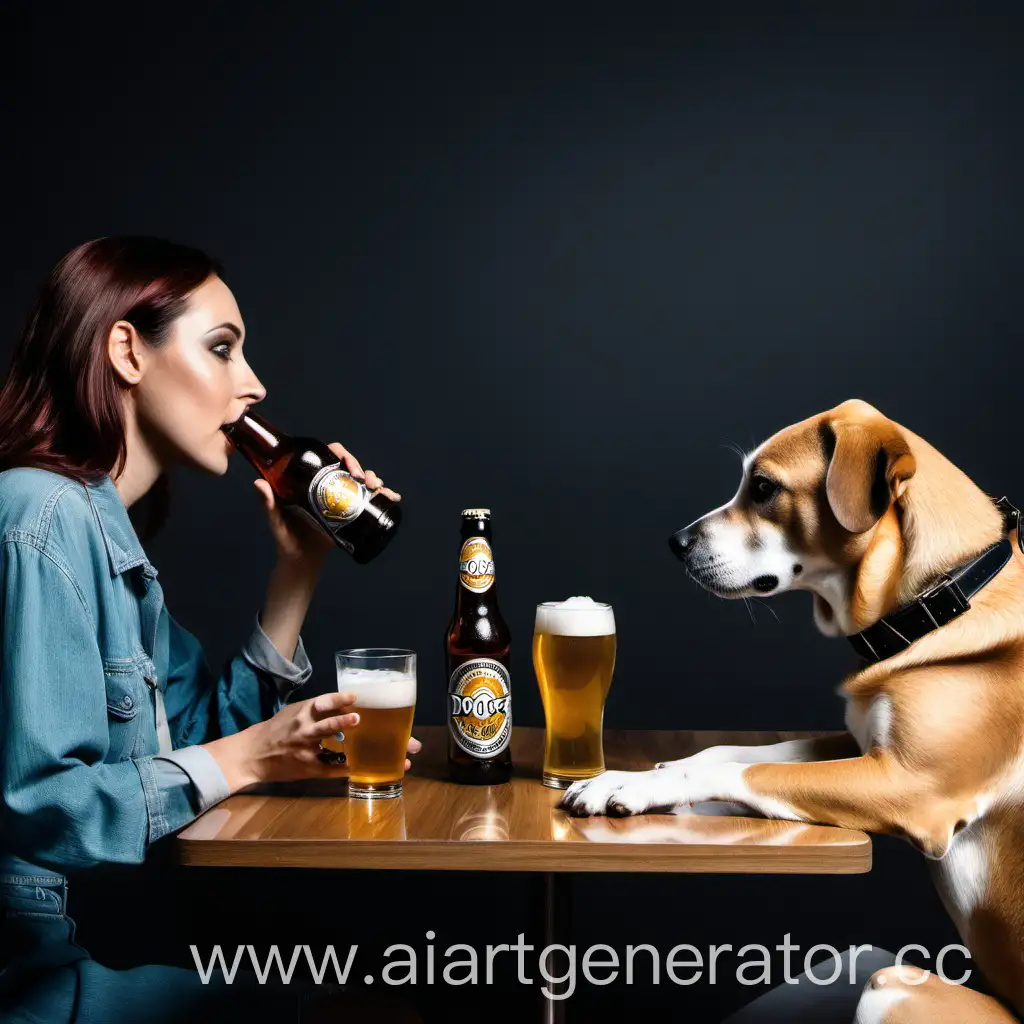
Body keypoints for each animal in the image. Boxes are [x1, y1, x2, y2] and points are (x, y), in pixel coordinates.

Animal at [561, 399, 1024, 1024]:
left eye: (763, 488)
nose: (676, 542)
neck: (944, 596)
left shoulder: (911, 785)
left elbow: (750, 769)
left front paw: (633, 786)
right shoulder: (862, 746)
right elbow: (738, 752)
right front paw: (654, 770)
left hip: (891, 985)